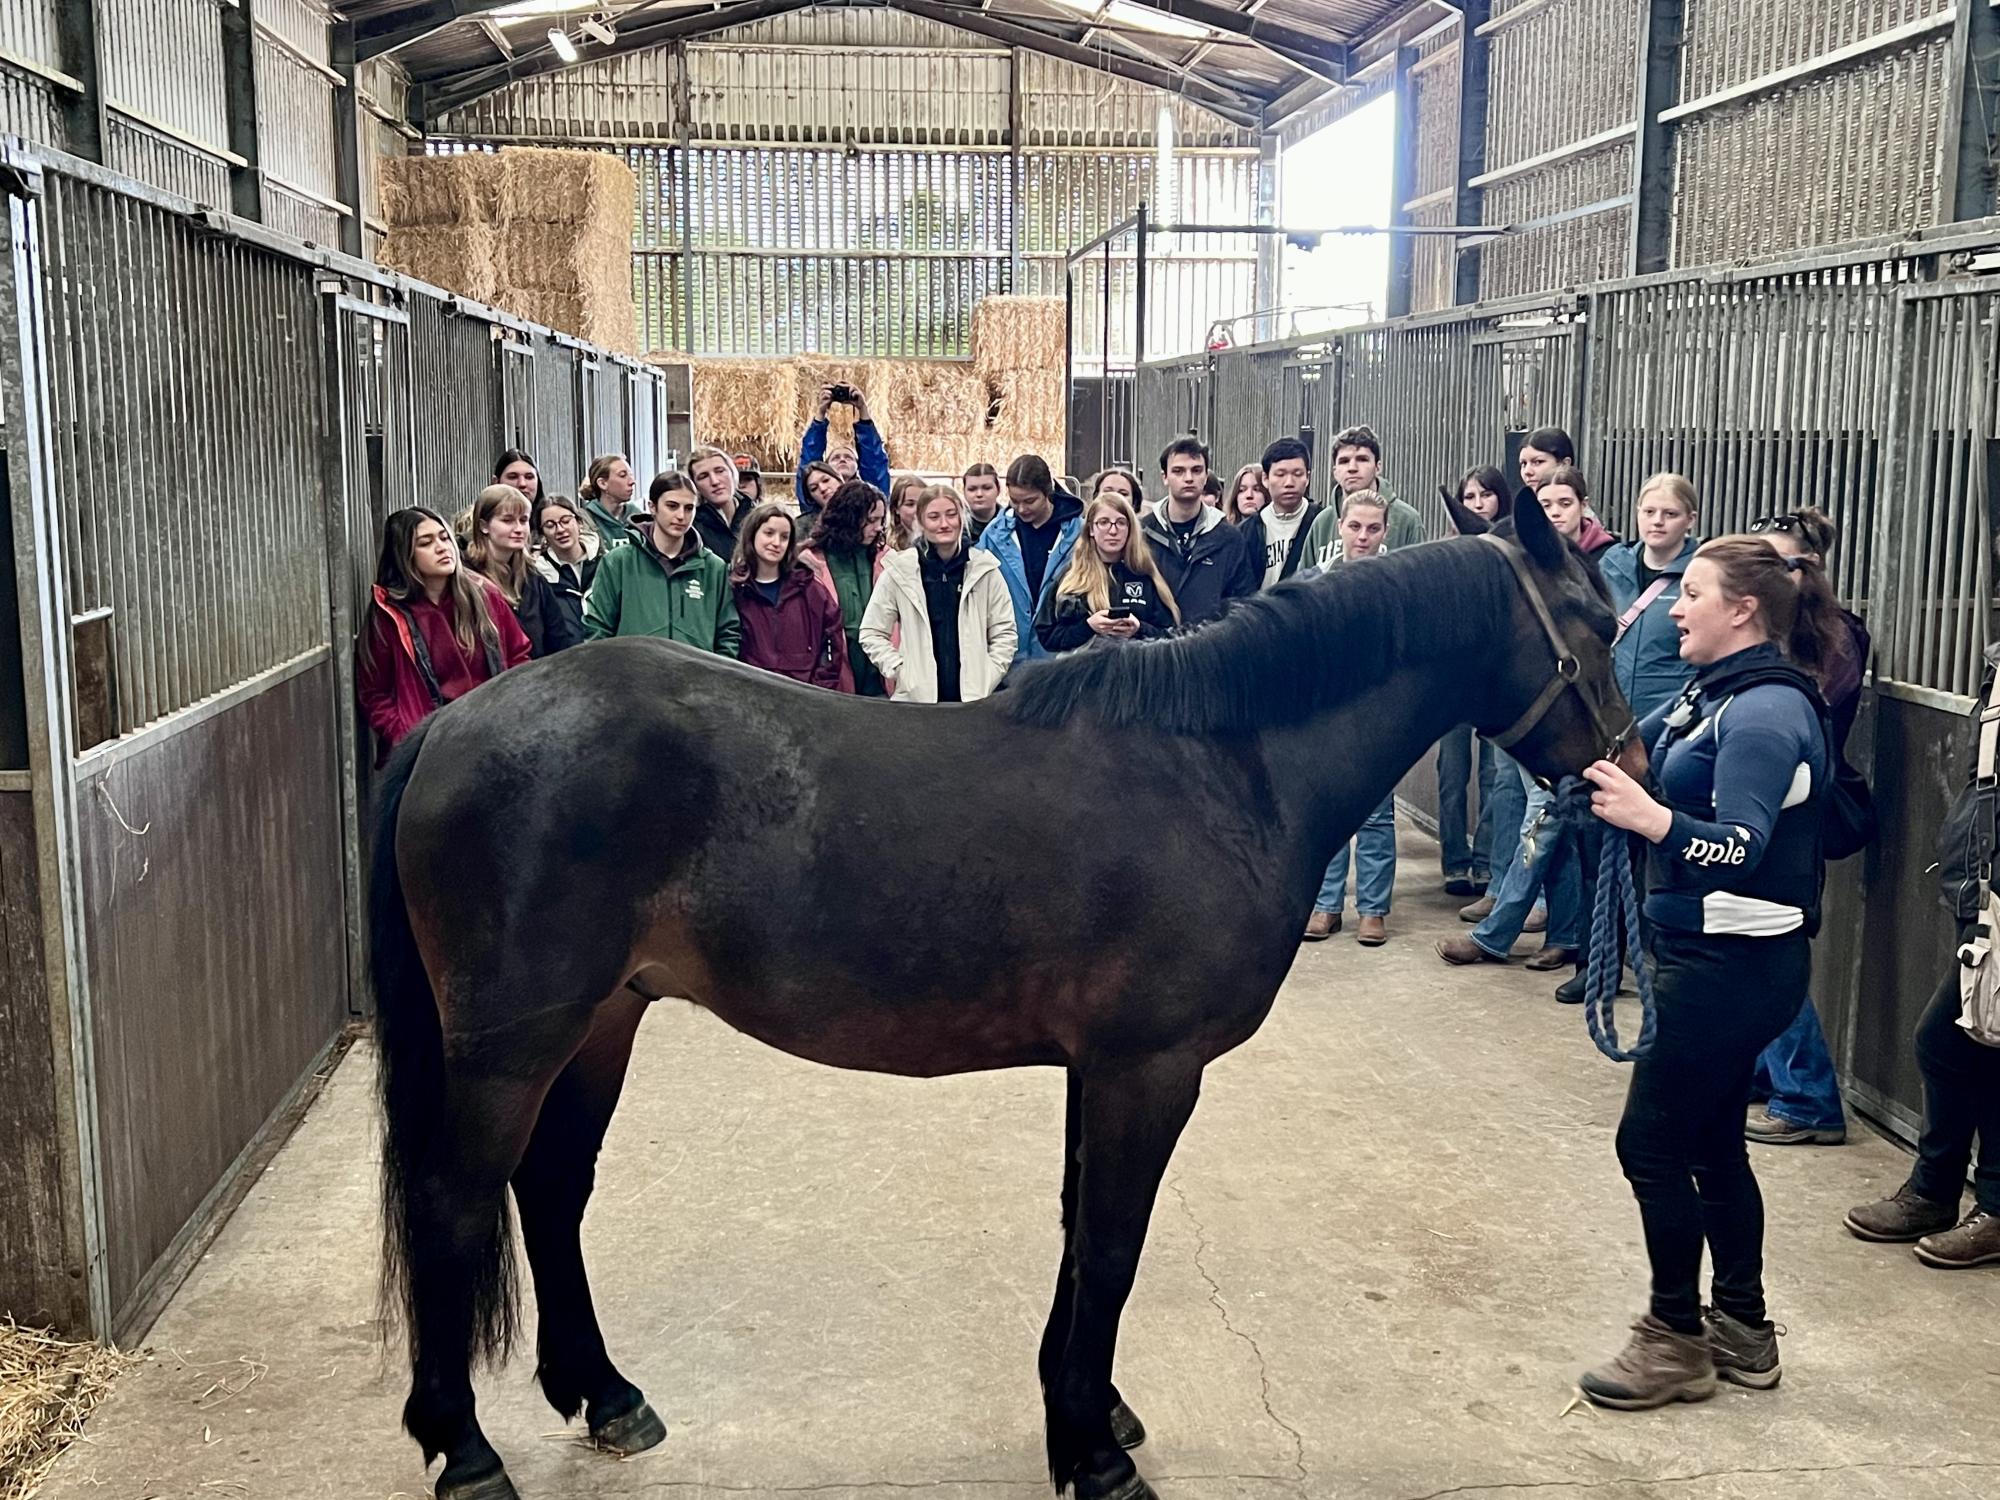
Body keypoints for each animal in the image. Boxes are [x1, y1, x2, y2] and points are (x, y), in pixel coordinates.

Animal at [371, 488, 1640, 1500]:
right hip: (512, 1044)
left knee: (550, 1188)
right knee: (454, 1202)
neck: (1222, 770)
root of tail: (453, 724)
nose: (1628, 772)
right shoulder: (1148, 1070)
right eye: (1590, 624)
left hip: (601, 1023)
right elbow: (1114, 1245)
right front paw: (1095, 1454)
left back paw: (604, 1395)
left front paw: (1084, 1411)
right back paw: (464, 1449)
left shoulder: (1100, 1067)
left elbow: (1081, 1232)